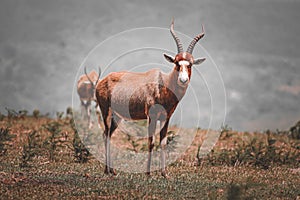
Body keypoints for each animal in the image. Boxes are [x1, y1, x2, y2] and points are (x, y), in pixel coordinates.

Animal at [96, 19, 206, 177]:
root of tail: (102, 81)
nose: (183, 80)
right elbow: (151, 142)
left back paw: (113, 170)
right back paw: (107, 170)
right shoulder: (152, 116)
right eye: (176, 63)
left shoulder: (166, 118)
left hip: (117, 117)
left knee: (109, 135)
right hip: (106, 111)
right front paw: (148, 173)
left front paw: (164, 173)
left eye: (190, 64)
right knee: (105, 134)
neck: (163, 83)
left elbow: (163, 143)